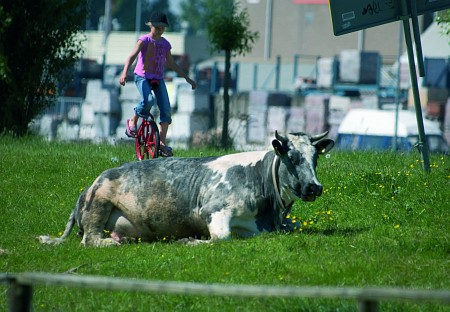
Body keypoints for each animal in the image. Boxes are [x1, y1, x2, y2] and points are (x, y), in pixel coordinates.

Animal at [39, 131, 334, 246]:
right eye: (292, 157)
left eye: (315, 158)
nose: (314, 187)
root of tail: (88, 186)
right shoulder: (212, 210)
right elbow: (221, 238)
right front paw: (189, 240)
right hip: (98, 203)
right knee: (91, 240)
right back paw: (114, 243)